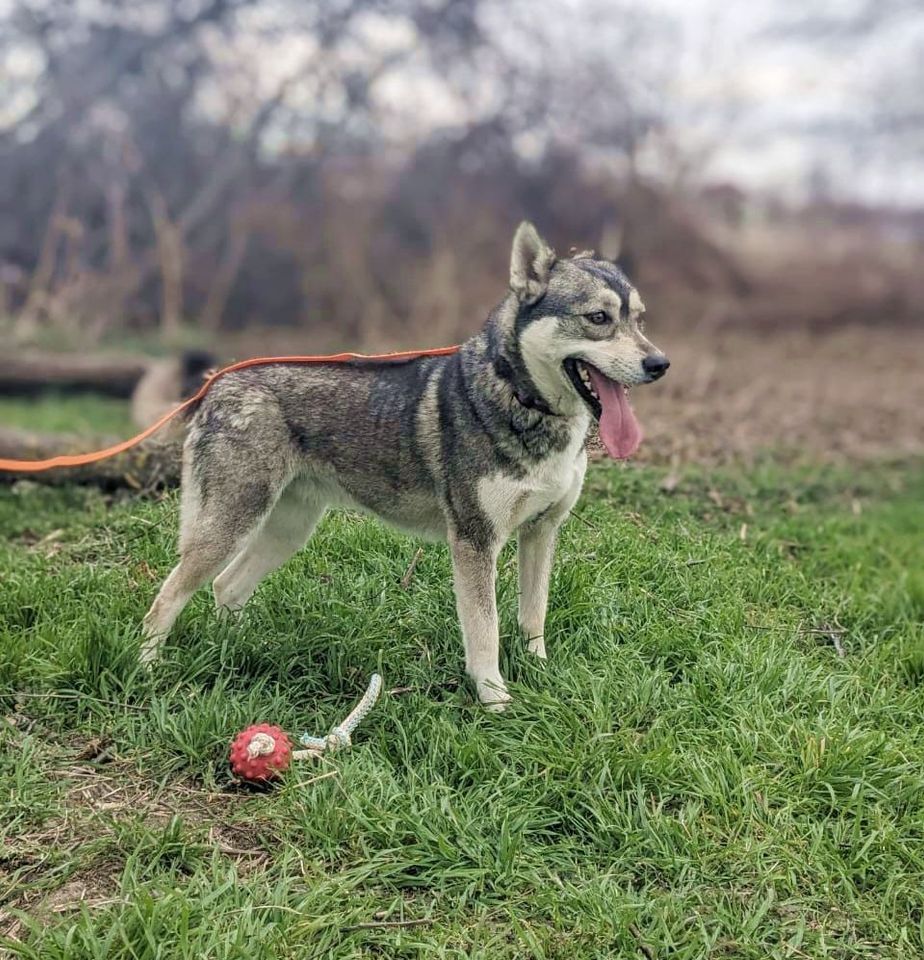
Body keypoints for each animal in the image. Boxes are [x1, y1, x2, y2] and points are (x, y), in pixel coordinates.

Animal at [141, 221, 668, 708]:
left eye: (640, 321)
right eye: (598, 317)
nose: (660, 364)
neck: (521, 400)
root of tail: (216, 384)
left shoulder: (542, 531)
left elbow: (532, 615)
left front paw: (540, 674)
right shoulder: (475, 543)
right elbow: (486, 631)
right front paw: (495, 701)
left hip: (287, 531)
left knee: (226, 587)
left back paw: (237, 651)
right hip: (228, 528)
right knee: (165, 601)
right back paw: (149, 670)